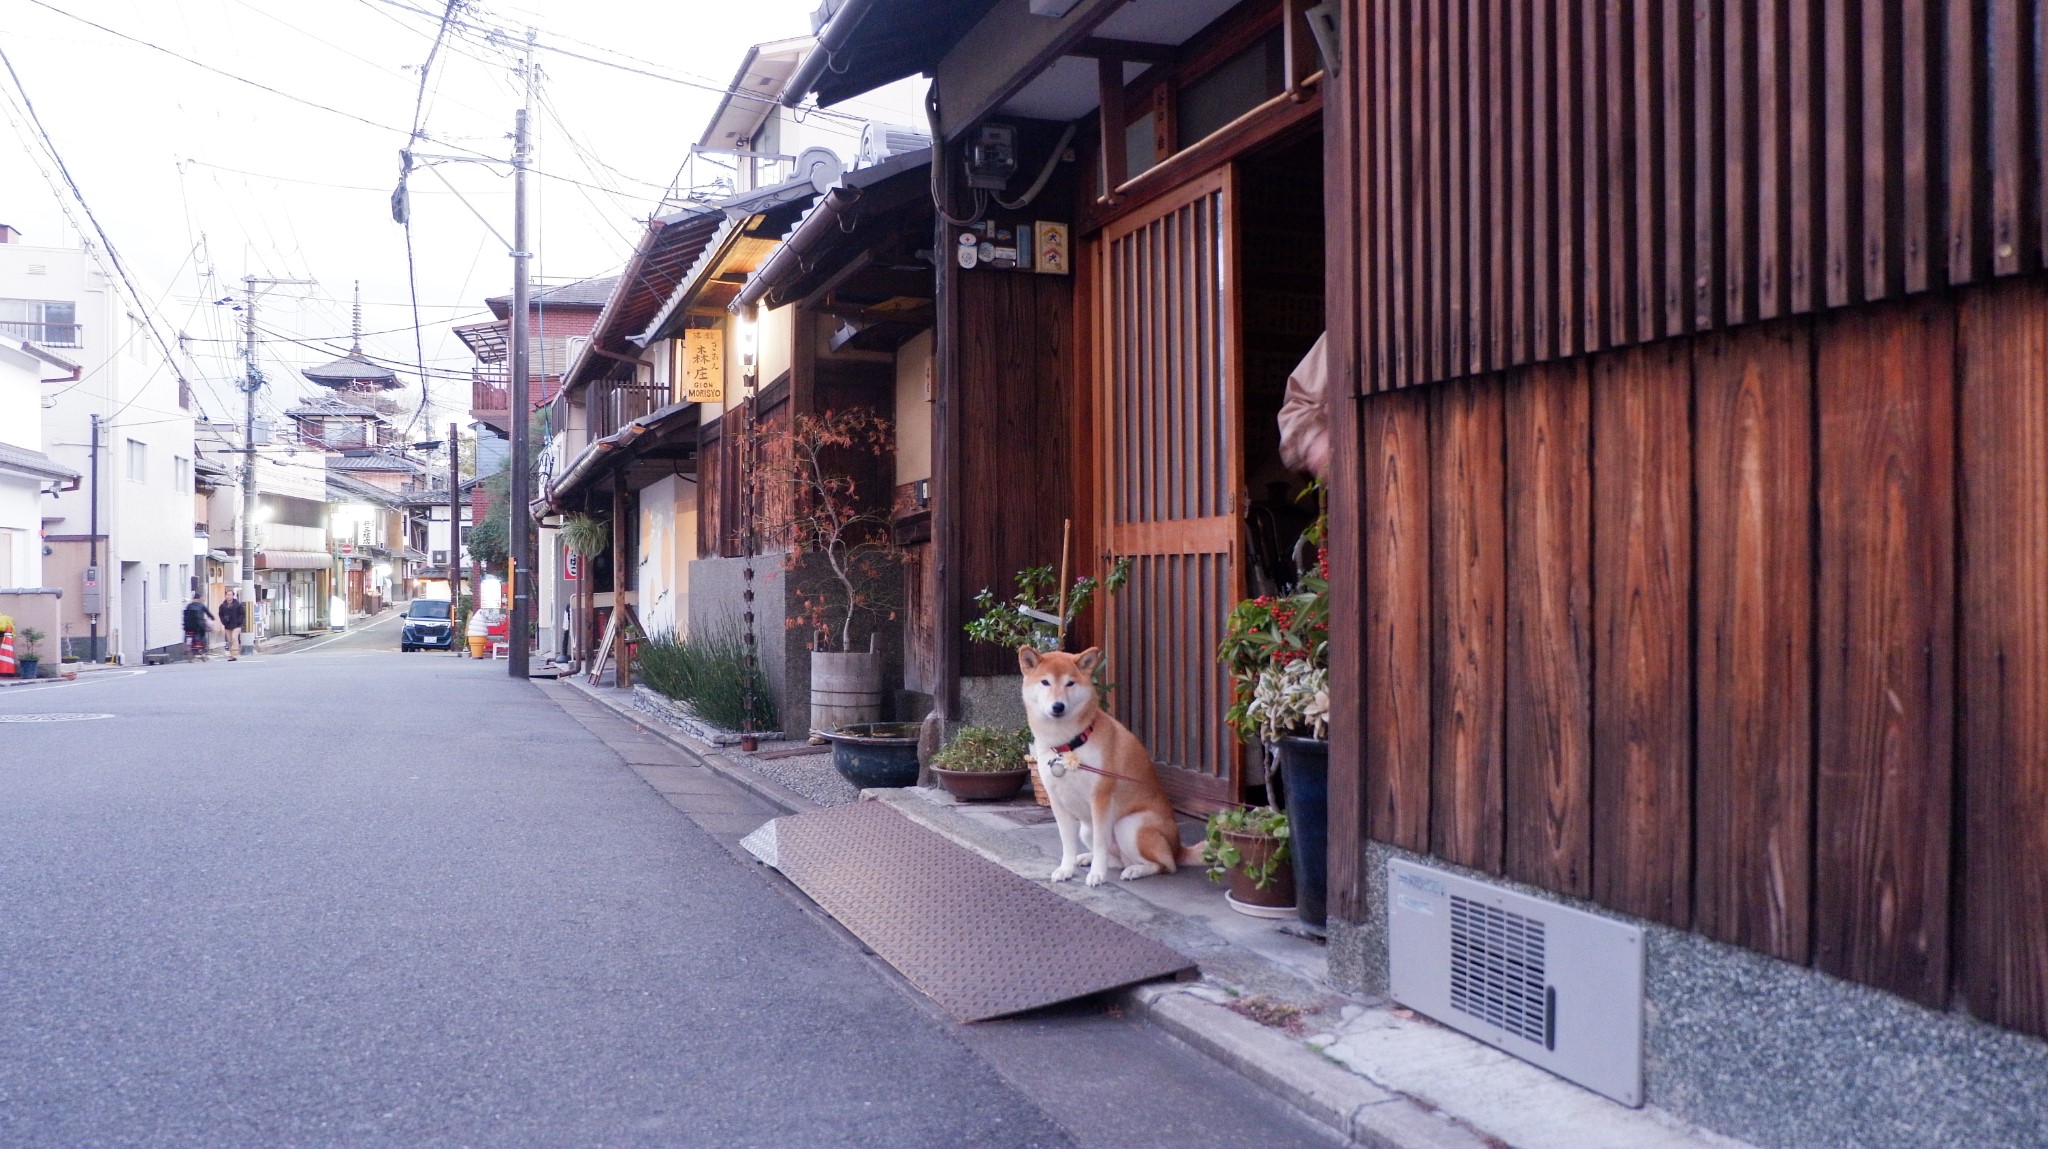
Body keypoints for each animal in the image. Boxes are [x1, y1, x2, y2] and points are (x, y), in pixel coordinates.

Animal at [1019, 647, 1204, 888]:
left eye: (1070, 683)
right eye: (1045, 682)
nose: (1058, 706)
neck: (1069, 744)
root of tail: (1179, 848)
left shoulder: (1101, 798)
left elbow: (1101, 842)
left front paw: (1097, 874)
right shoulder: (1056, 800)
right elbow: (1067, 842)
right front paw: (1066, 869)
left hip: (1130, 825)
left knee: (1164, 865)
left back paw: (1135, 870)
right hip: (1086, 829)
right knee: (1116, 859)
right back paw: (1087, 858)